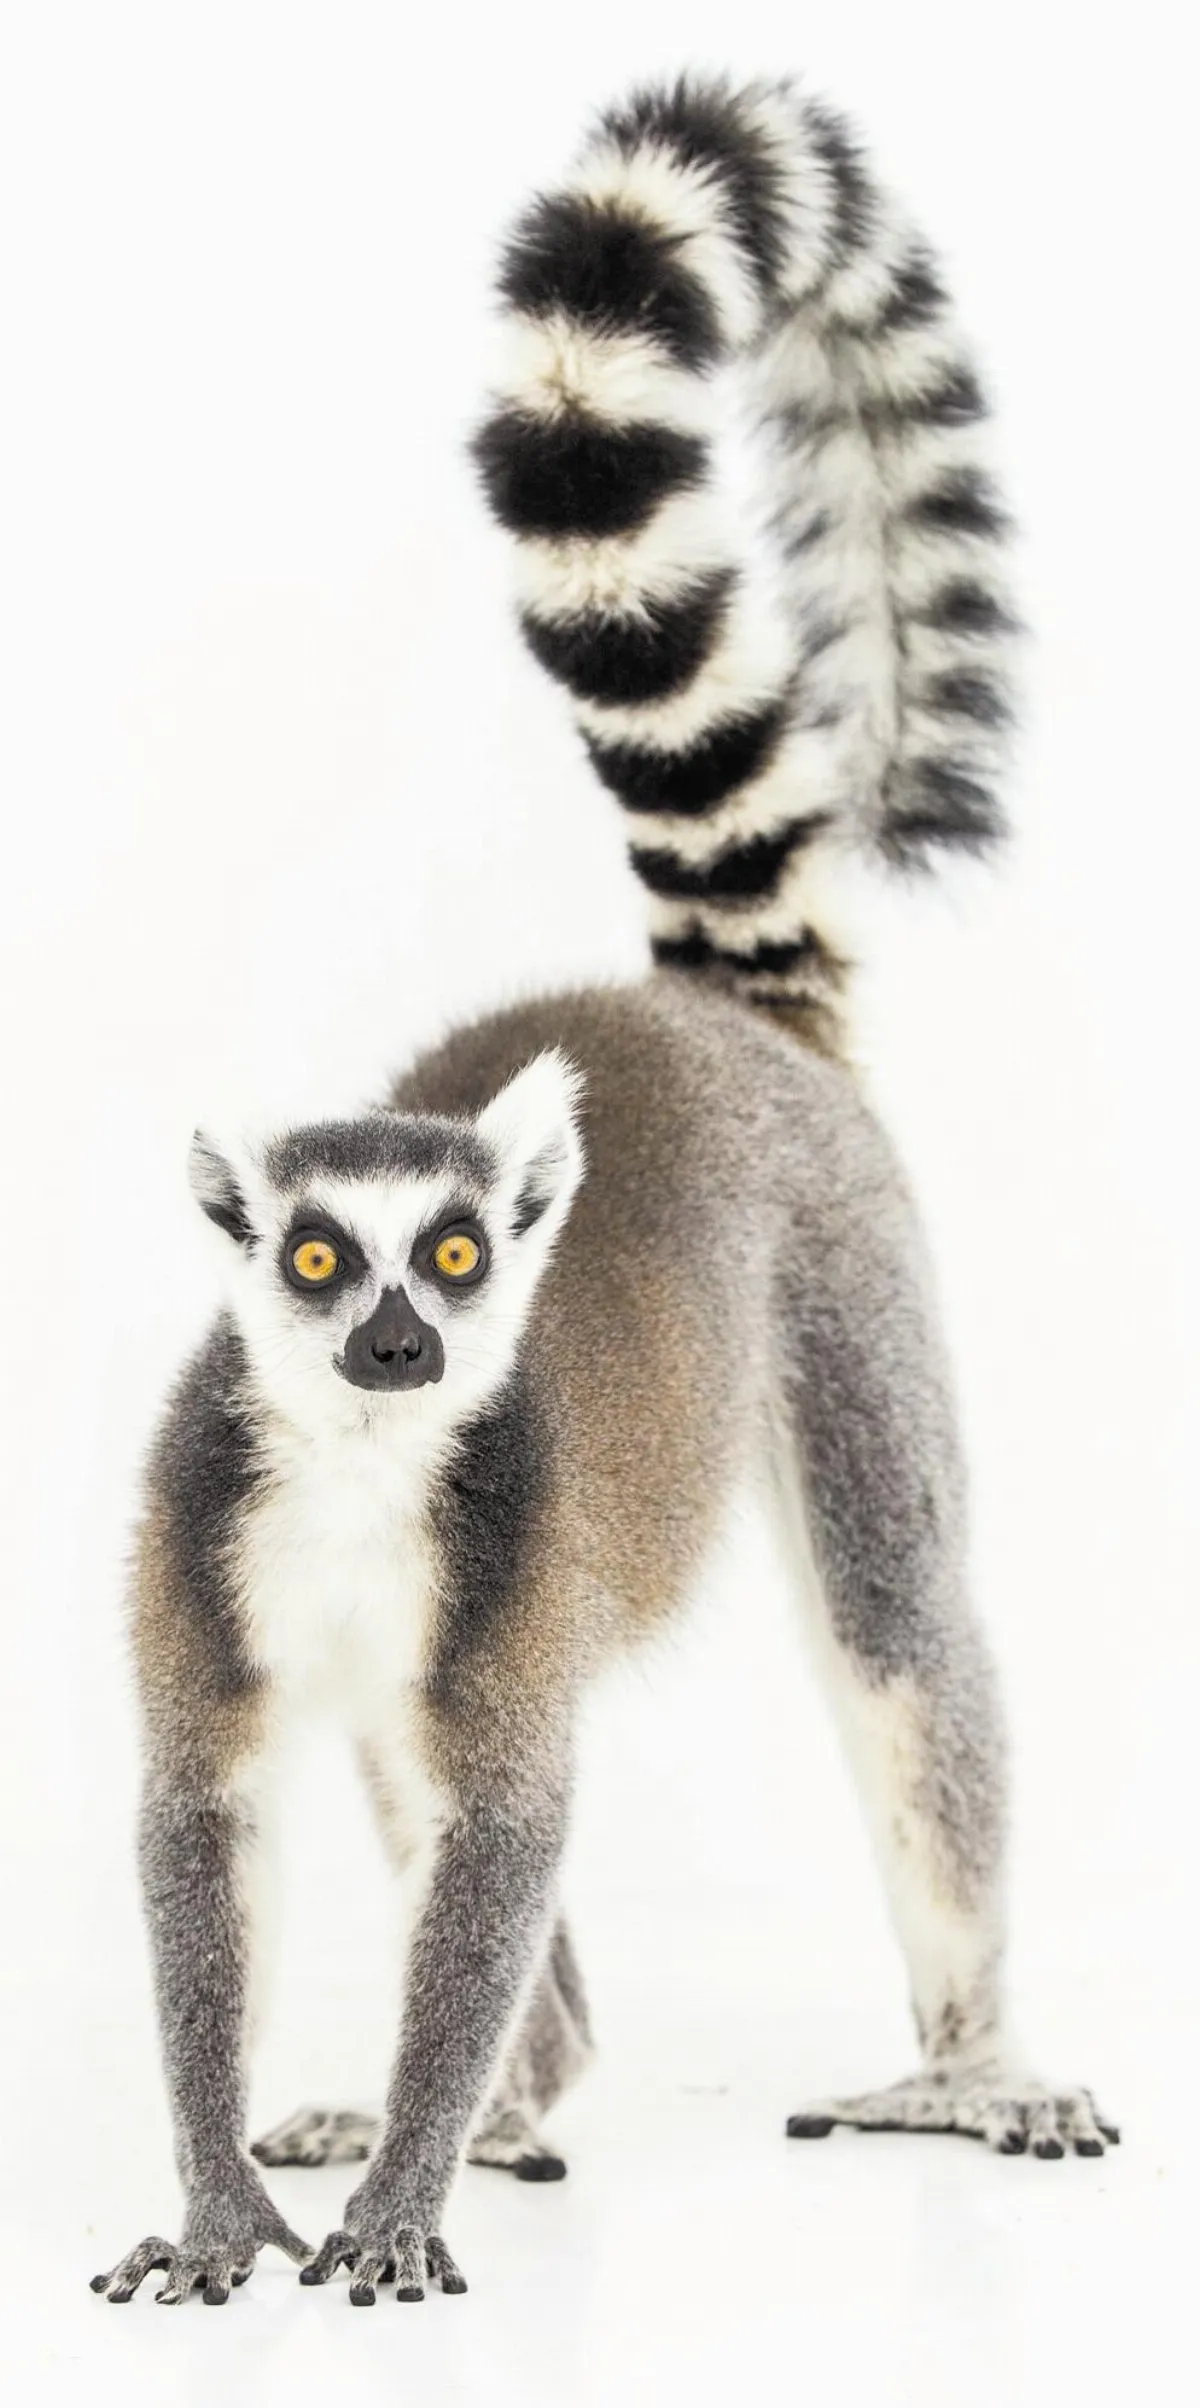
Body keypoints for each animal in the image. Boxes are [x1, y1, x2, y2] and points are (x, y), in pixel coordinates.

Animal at [92, 73, 1116, 2312]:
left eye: (463, 1258)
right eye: (321, 1257)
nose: (400, 1344)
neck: (361, 1484)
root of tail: (708, 1021)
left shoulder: (512, 1566)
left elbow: (506, 1829)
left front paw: (394, 2206)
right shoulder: (204, 1539)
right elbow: (212, 1833)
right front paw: (232, 2204)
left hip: (849, 1294)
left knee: (900, 1620)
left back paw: (972, 2062)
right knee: (420, 1771)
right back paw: (519, 2105)